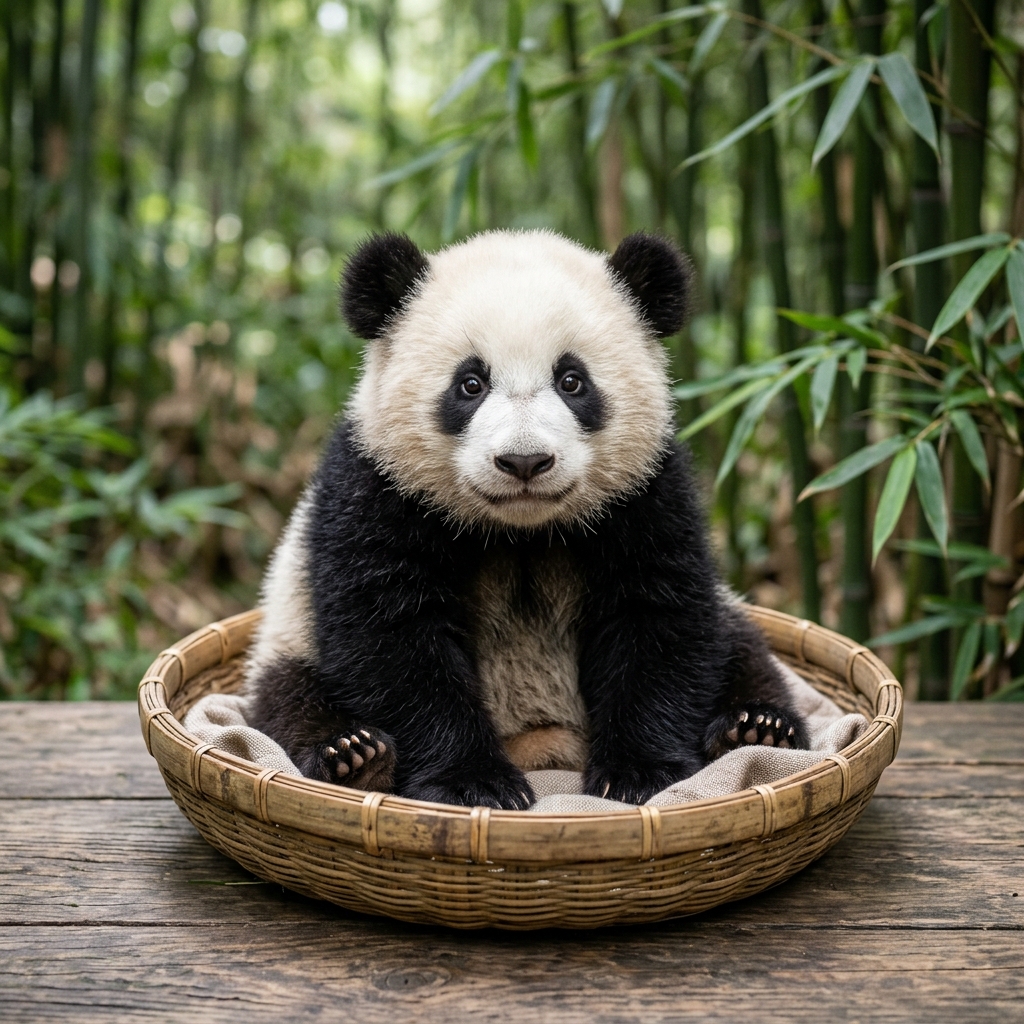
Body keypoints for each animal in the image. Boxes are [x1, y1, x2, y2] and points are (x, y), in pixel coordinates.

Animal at [245, 228, 808, 809]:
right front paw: (473, 784)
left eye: (572, 381)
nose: (524, 461)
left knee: (741, 648)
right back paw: (354, 756)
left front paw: (637, 773)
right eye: (470, 383)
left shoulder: (647, 494)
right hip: (288, 632)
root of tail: (540, 743)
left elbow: (656, 617)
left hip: (730, 620)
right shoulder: (375, 490)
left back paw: (756, 728)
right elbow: (391, 634)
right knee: (288, 696)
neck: (521, 531)